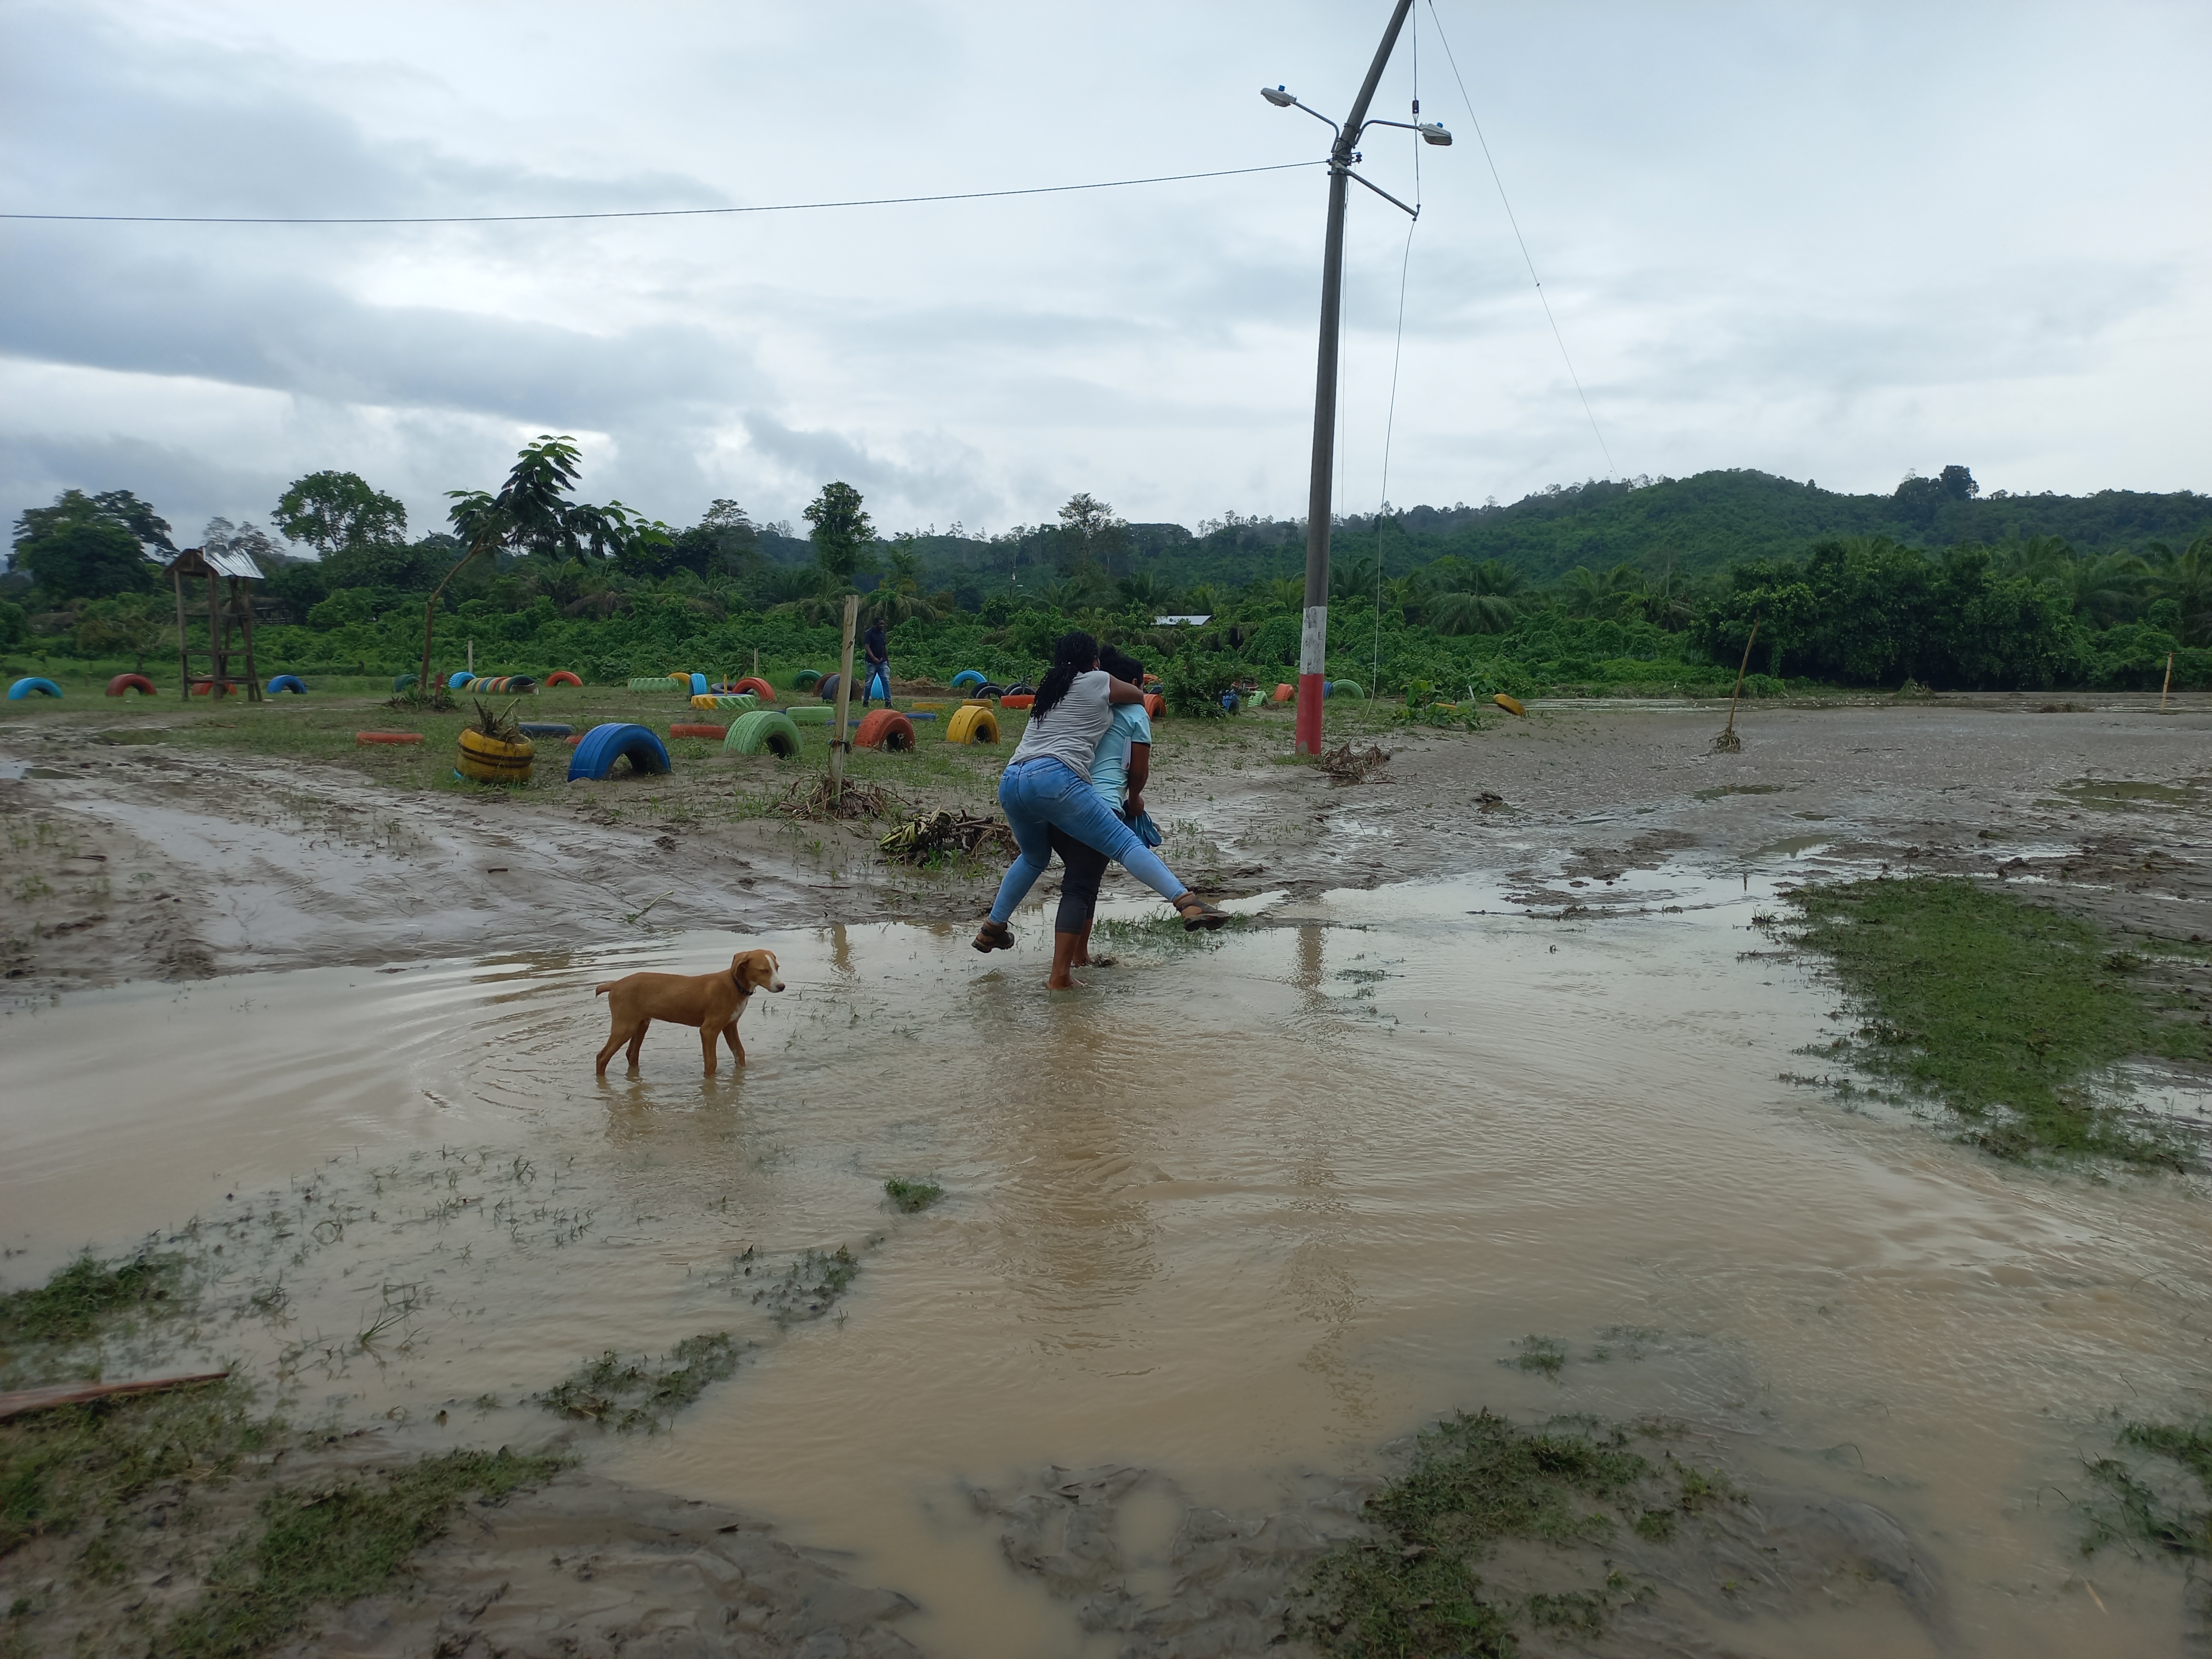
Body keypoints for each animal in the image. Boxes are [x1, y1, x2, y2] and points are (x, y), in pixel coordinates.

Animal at [594, 949, 784, 1076]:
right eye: (764, 970)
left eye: (777, 968)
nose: (782, 986)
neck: (734, 985)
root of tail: (615, 984)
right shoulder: (708, 1030)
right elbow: (711, 1063)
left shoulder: (730, 1026)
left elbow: (740, 1054)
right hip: (625, 1026)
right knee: (602, 1057)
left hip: (641, 1023)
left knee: (631, 1054)